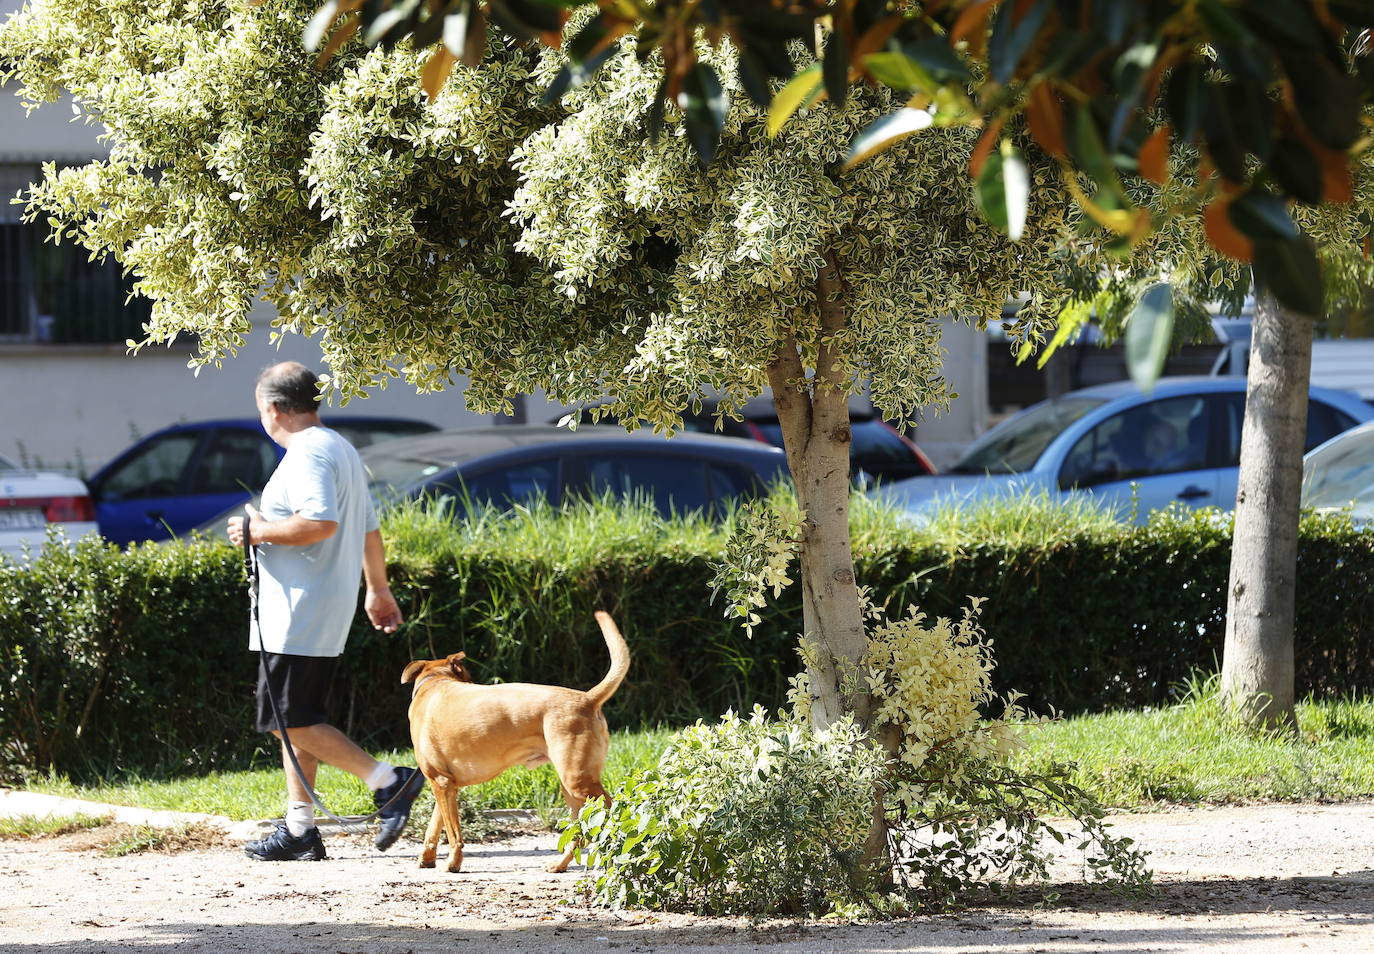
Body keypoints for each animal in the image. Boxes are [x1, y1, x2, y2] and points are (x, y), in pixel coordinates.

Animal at [401, 613, 629, 874]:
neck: (435, 681)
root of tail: (587, 698)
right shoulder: (445, 784)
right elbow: (434, 827)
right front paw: (427, 857)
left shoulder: (441, 782)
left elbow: (453, 834)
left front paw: (452, 863)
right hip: (572, 787)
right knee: (578, 831)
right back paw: (560, 864)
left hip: (578, 782)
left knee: (614, 811)